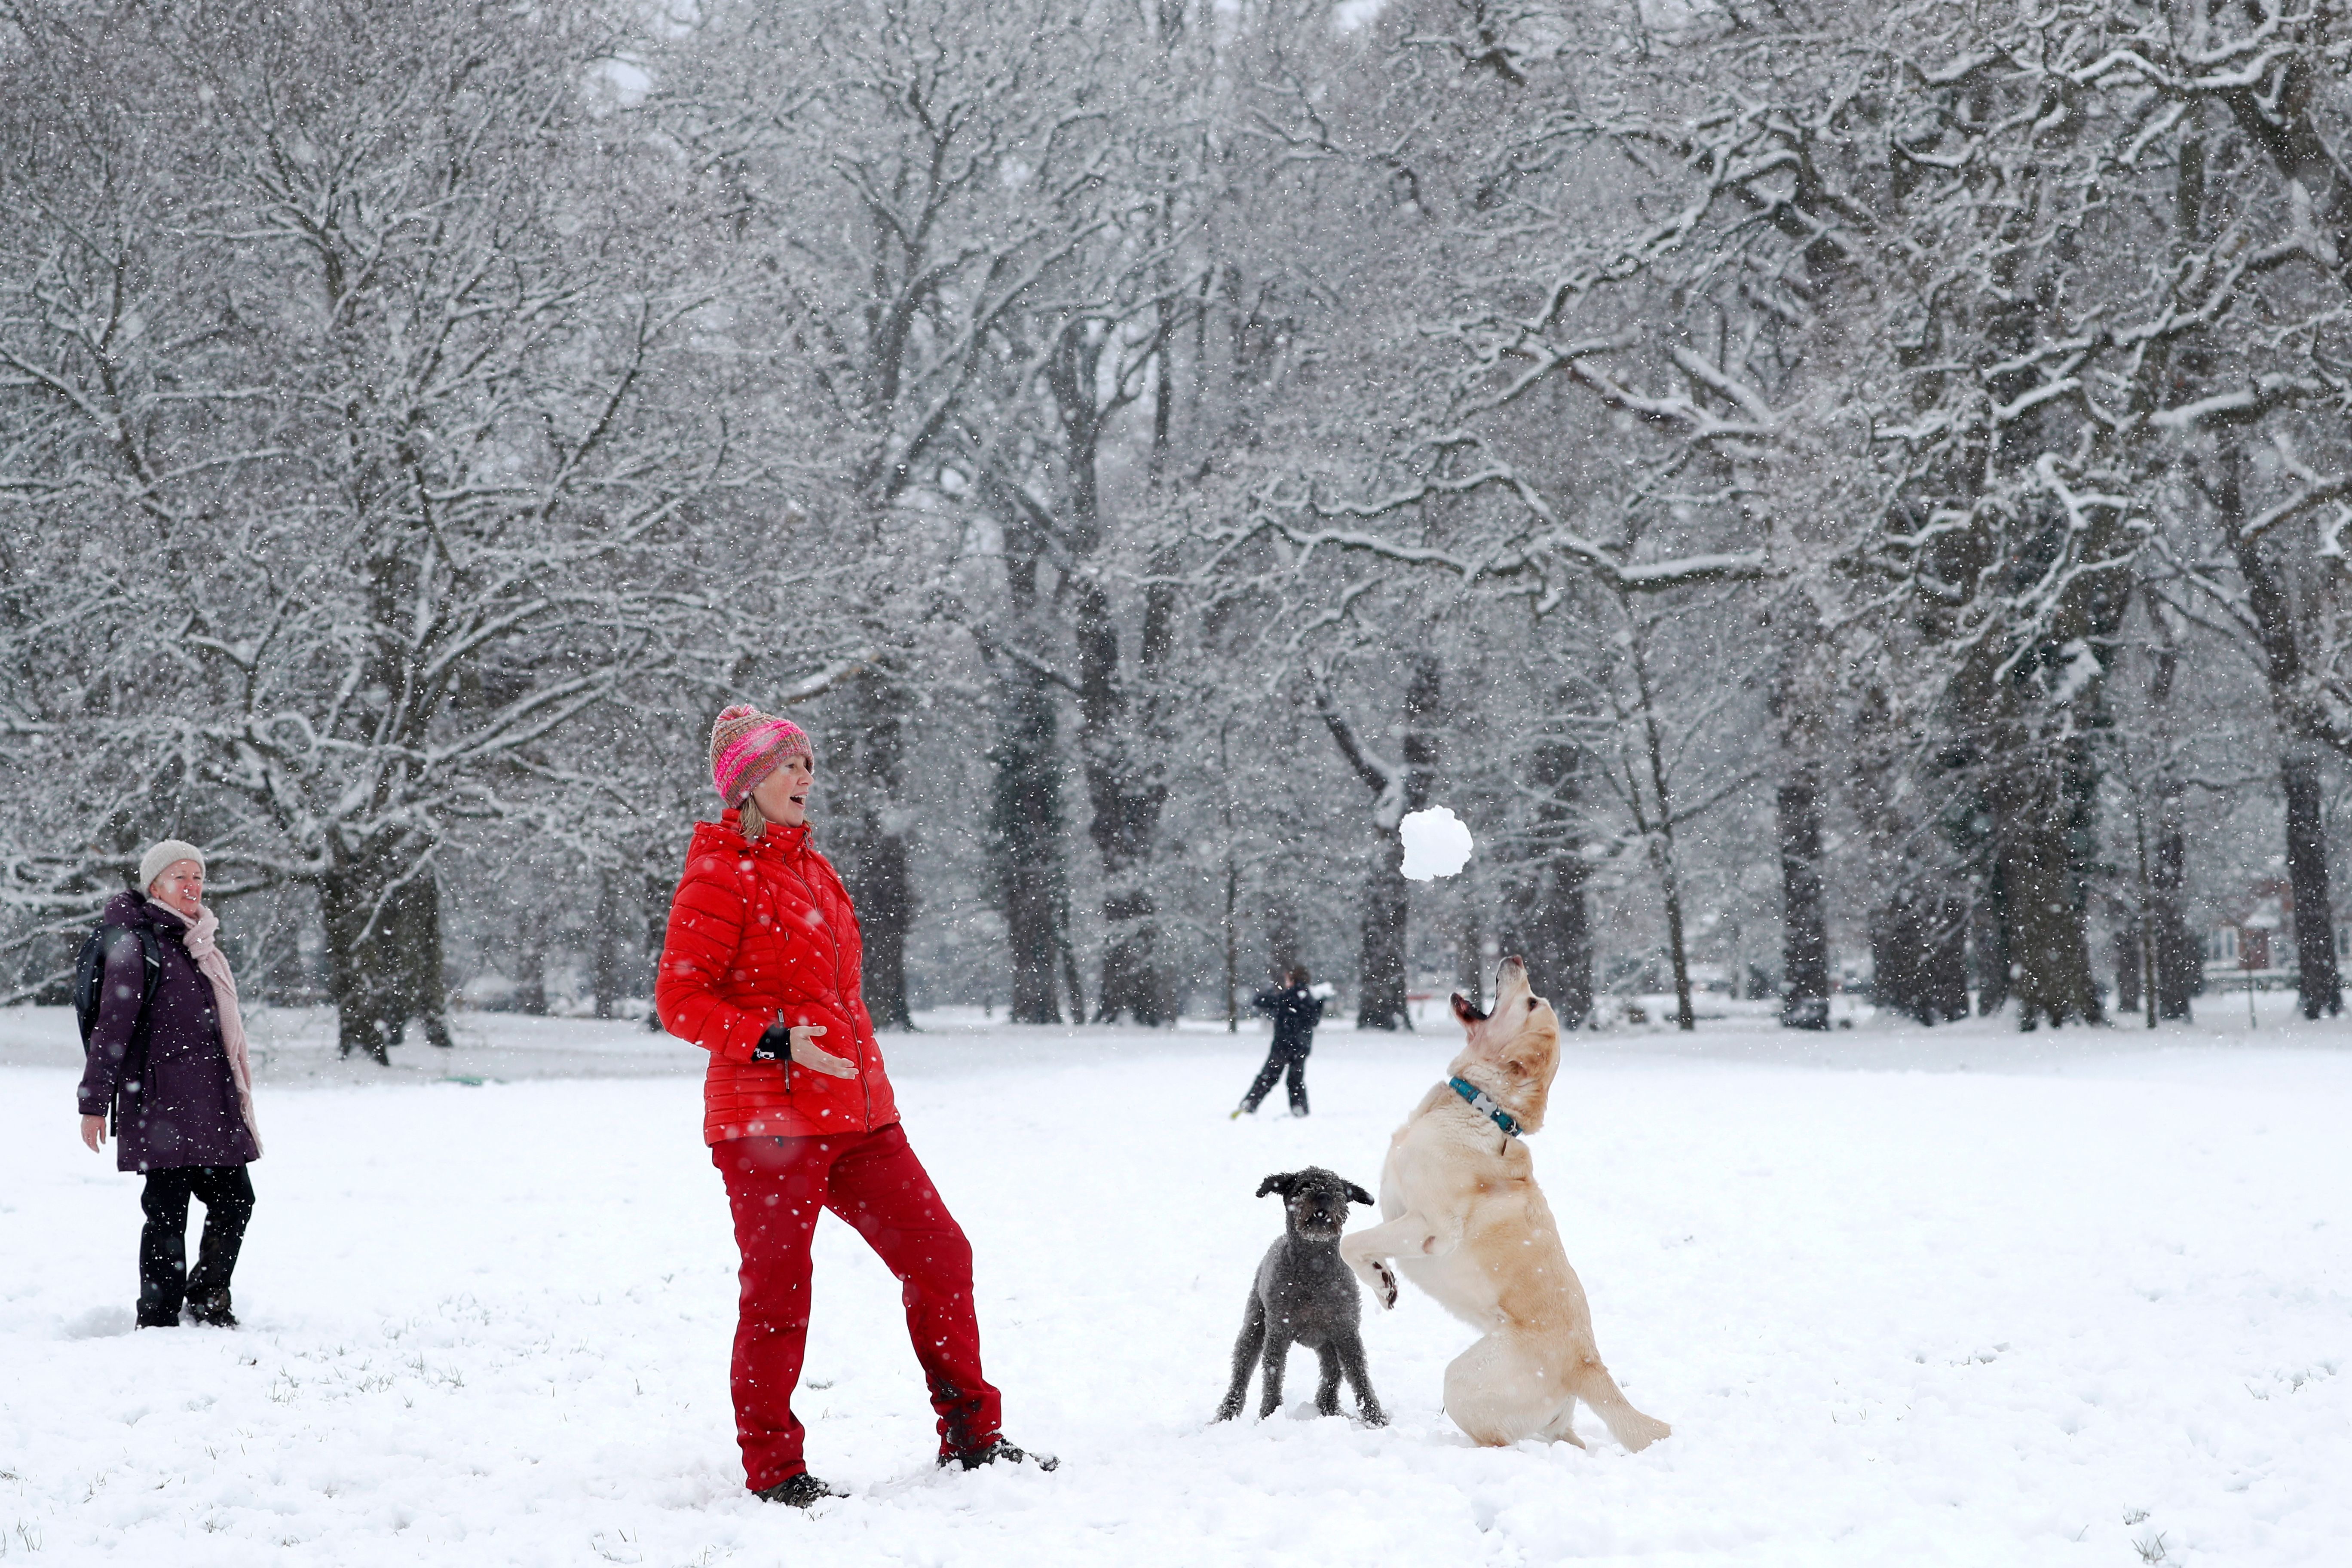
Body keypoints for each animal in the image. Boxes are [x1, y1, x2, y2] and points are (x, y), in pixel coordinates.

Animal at [1223, 1170, 1383, 1429]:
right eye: (1303, 1186)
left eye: (1338, 1189)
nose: (1324, 1195)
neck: (1314, 1272)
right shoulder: (1278, 1332)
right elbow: (1273, 1374)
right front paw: (1270, 1415)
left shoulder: (1346, 1331)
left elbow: (1359, 1376)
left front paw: (1376, 1419)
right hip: (1255, 1324)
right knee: (1242, 1370)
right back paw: (1226, 1414)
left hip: (1327, 1342)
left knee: (1332, 1370)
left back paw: (1331, 1409)